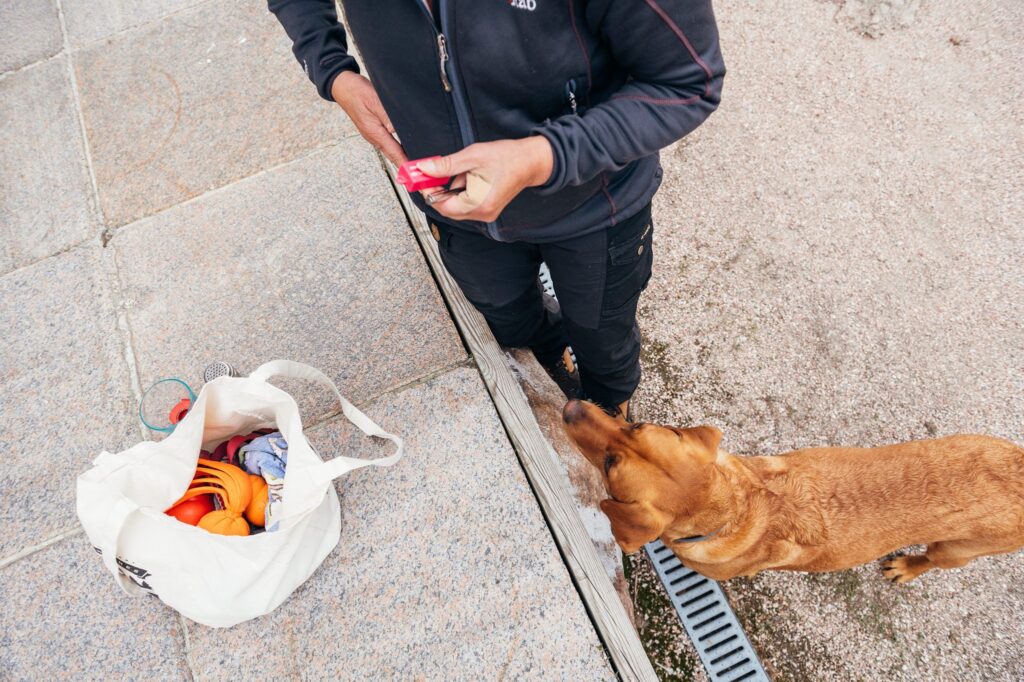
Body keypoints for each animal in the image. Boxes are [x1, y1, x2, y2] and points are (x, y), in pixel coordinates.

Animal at [565, 399, 1019, 577]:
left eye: (610, 465)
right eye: (635, 424)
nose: (570, 407)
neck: (737, 508)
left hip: (957, 550)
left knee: (934, 560)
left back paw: (907, 567)